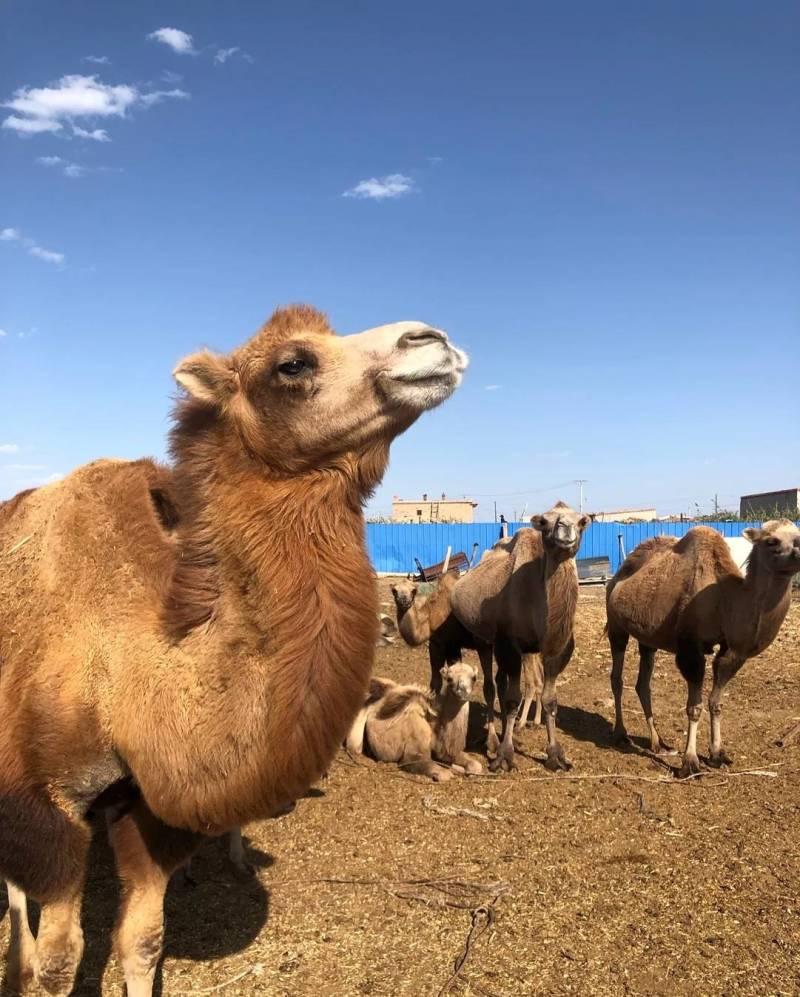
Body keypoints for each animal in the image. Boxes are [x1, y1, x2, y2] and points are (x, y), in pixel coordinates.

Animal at [0, 306, 468, 996]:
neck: (131, 672)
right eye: (292, 363)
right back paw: (20, 958)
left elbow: (143, 942)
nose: (432, 340)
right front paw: (40, 962)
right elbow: (62, 962)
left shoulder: (150, 811)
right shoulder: (45, 805)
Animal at [344, 660, 482, 780]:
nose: (462, 692)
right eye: (449, 679)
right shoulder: (412, 755)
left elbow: (477, 766)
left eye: (474, 677)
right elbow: (444, 774)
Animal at [454, 502, 592, 776]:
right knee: (489, 686)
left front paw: (555, 755)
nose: (565, 528)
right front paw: (505, 757)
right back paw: (492, 741)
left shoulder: (556, 650)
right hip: (483, 638)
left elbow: (550, 699)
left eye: (582, 521)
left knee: (501, 681)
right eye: (544, 522)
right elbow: (511, 700)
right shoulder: (509, 644)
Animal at [608, 516, 800, 784]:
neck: (725, 599)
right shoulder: (690, 647)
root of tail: (617, 576)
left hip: (648, 638)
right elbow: (694, 707)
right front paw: (690, 763)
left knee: (643, 683)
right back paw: (620, 734)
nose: (798, 551)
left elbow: (716, 702)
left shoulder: (731, 651)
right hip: (616, 626)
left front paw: (718, 755)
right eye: (772, 541)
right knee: (617, 677)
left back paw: (658, 742)